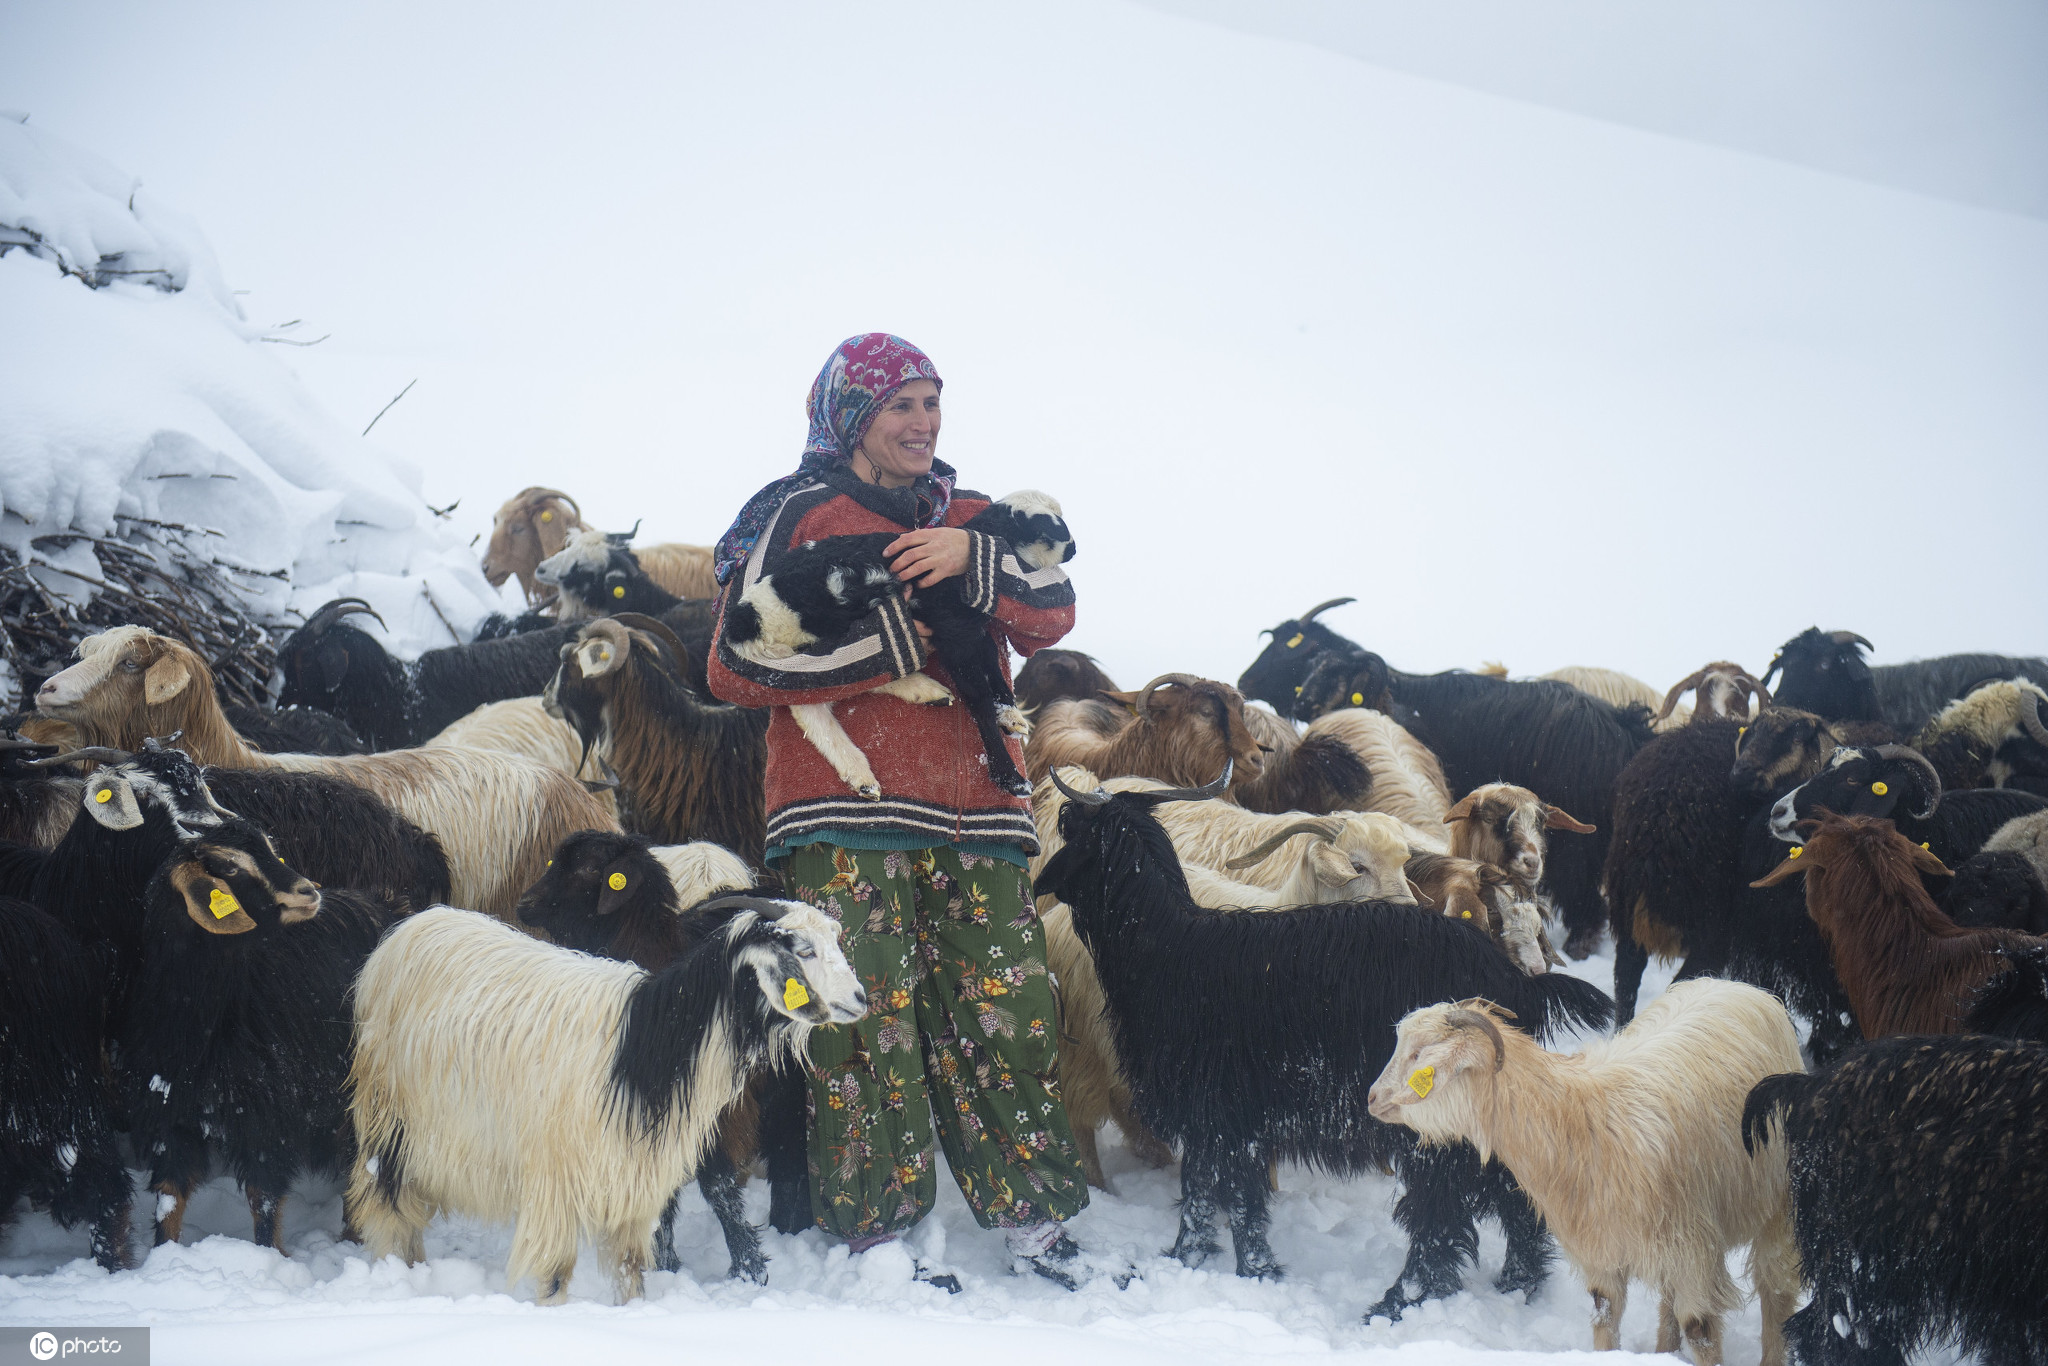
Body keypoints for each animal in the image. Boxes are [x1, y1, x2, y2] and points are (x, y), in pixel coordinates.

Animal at [352, 897, 864, 1302]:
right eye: (803, 949)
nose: (860, 998)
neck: (644, 1048)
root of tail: (413, 925)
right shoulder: (555, 1178)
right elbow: (555, 1276)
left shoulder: (635, 1182)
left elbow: (631, 1268)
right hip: (389, 1118)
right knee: (389, 1206)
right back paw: (401, 1276)